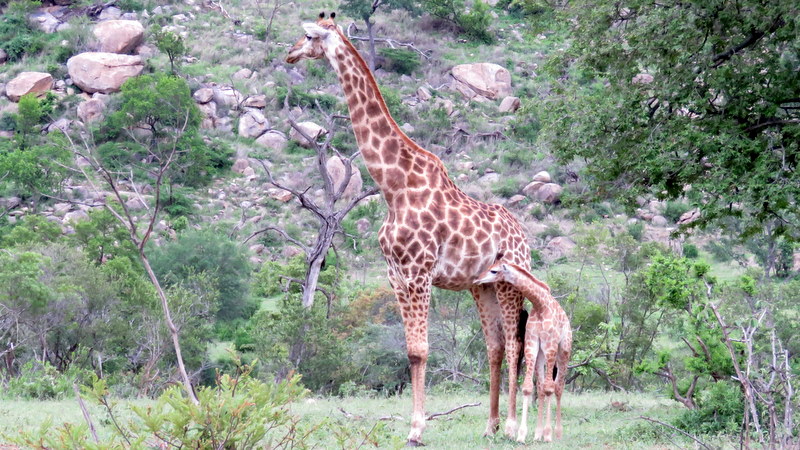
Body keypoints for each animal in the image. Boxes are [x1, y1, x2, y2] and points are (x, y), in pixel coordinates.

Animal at [286, 12, 531, 445]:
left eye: (308, 35)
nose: (289, 54)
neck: (394, 186)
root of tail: (527, 240)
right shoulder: (396, 276)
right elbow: (411, 351)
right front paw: (414, 426)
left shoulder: (419, 273)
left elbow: (421, 350)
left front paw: (417, 429)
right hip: (481, 286)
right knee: (496, 346)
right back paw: (490, 425)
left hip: (509, 282)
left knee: (516, 345)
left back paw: (515, 427)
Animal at [475, 262, 572, 443]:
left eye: (494, 270)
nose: (477, 279)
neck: (540, 304)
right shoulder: (532, 345)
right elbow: (528, 388)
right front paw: (522, 434)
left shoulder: (550, 345)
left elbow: (550, 388)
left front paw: (548, 434)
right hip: (541, 354)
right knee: (541, 387)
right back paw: (538, 434)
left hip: (564, 350)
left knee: (558, 387)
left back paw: (557, 433)